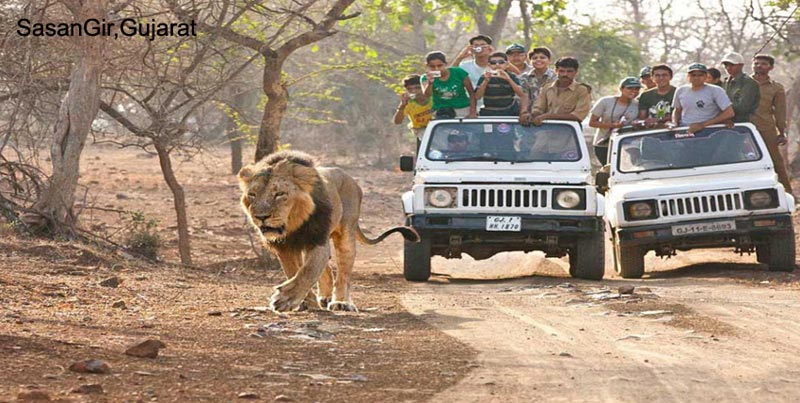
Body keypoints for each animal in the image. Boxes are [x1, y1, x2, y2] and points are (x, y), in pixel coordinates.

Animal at [238, 150, 419, 312]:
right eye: (252, 194)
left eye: (280, 194)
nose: (261, 217)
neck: (294, 224)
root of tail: (350, 179)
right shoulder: (284, 247)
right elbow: (294, 272)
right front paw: (306, 302)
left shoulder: (317, 239)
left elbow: (308, 271)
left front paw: (285, 299)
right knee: (327, 269)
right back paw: (324, 298)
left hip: (345, 234)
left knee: (343, 272)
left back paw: (341, 302)